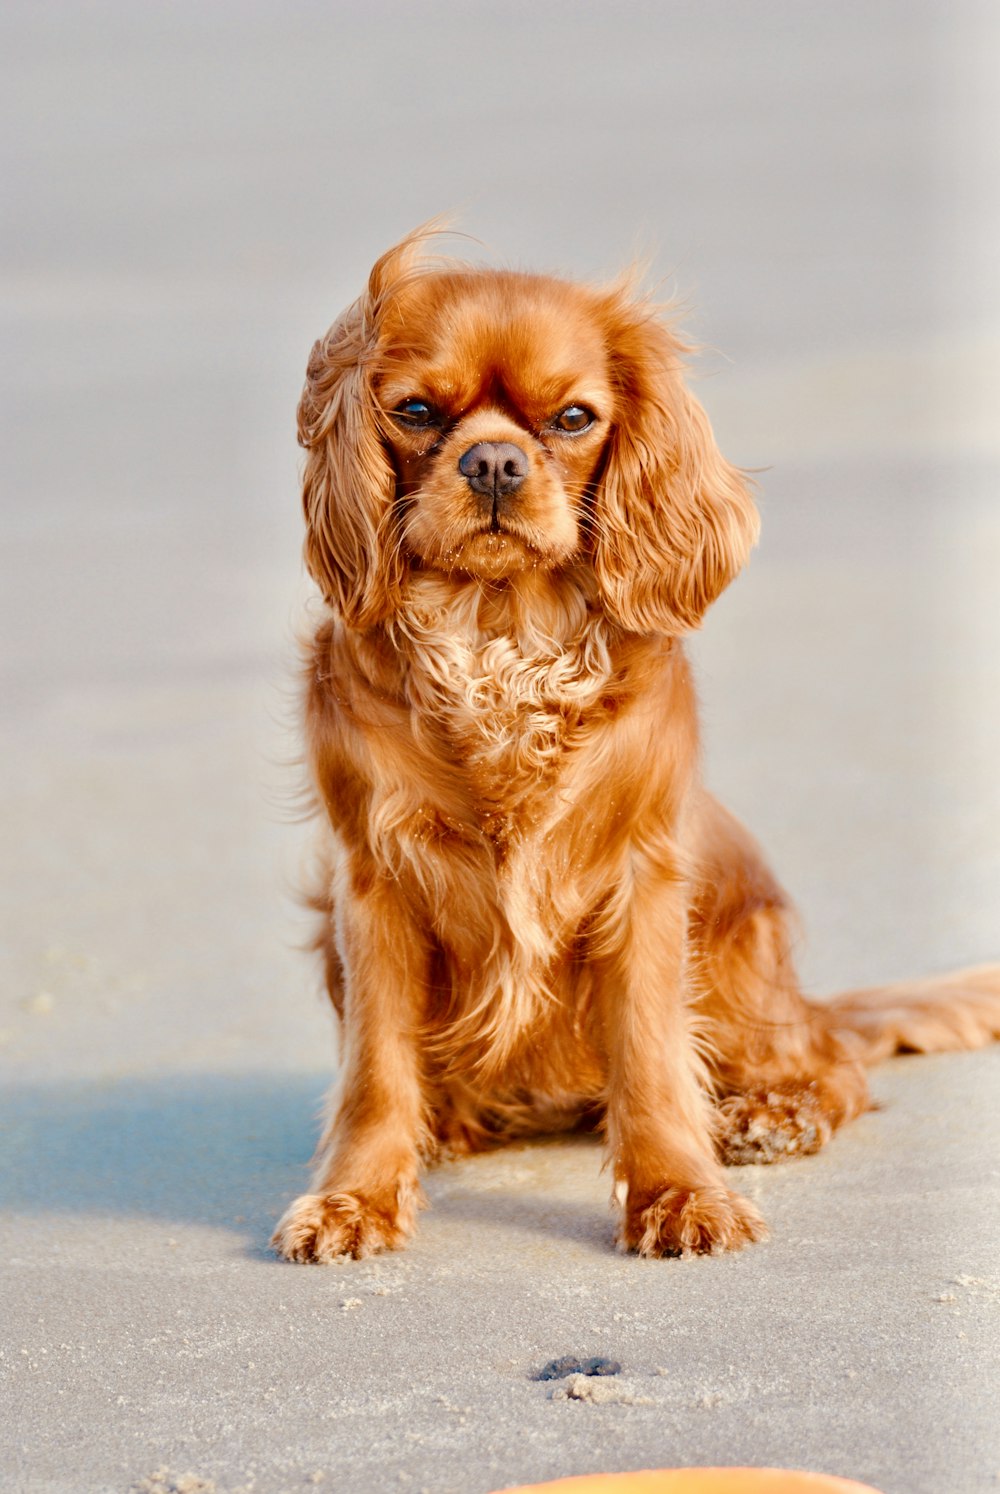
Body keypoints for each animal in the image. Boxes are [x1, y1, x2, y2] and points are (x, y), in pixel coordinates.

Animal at [269, 230, 998, 1260]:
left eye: (573, 418)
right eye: (414, 411)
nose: (494, 463)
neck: (498, 636)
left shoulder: (639, 878)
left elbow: (652, 1057)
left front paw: (679, 1194)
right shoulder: (373, 884)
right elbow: (375, 1070)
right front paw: (356, 1198)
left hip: (739, 950)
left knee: (830, 1062)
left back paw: (774, 1112)